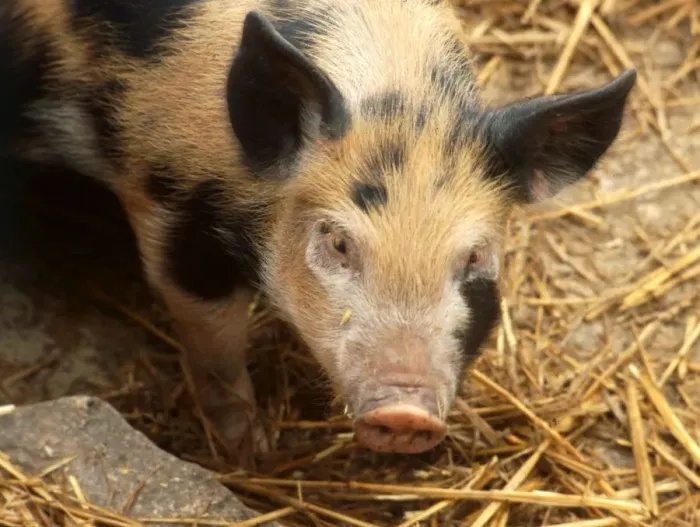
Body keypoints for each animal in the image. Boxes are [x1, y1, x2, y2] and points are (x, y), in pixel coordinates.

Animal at [0, 0, 636, 455]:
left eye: (475, 257)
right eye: (338, 242)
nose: (404, 412)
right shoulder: (169, 203)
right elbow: (213, 338)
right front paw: (253, 452)